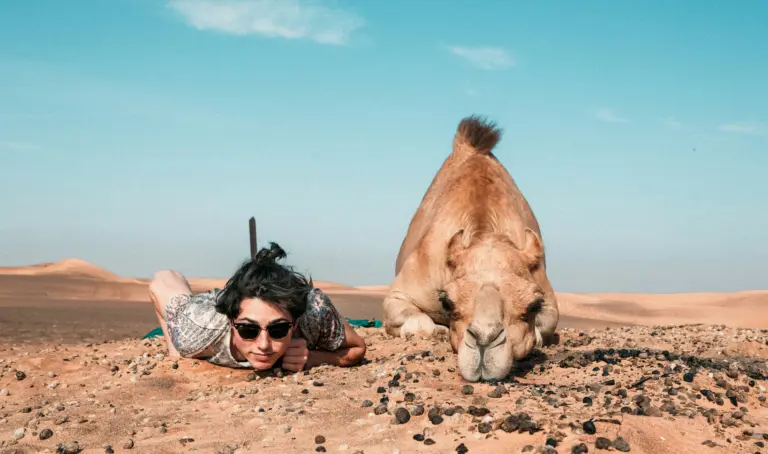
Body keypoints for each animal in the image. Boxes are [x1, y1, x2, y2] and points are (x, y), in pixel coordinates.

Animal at [382, 115, 559, 382]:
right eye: (447, 302)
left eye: (534, 305)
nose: (484, 342)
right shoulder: (403, 291)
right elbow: (422, 325)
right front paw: (437, 331)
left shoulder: (546, 295)